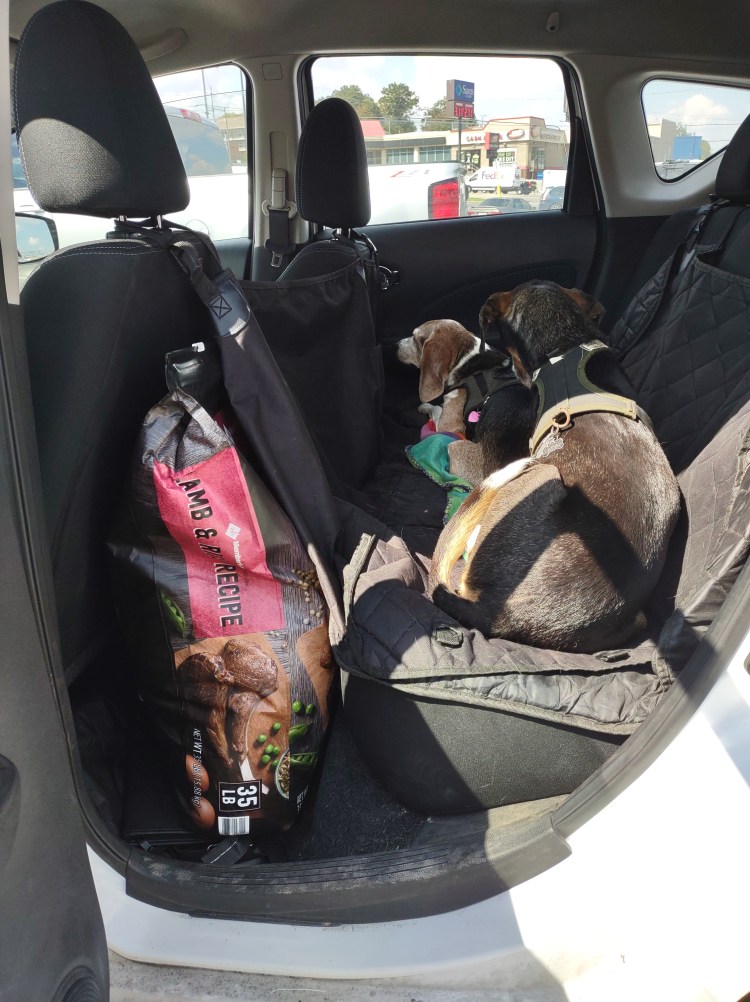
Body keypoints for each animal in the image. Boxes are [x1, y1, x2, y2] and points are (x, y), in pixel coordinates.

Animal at [396, 319, 531, 484]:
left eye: (415, 338)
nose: (396, 345)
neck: (466, 359)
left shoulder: (448, 425)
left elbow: (437, 408)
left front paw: (424, 406)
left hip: (455, 445)